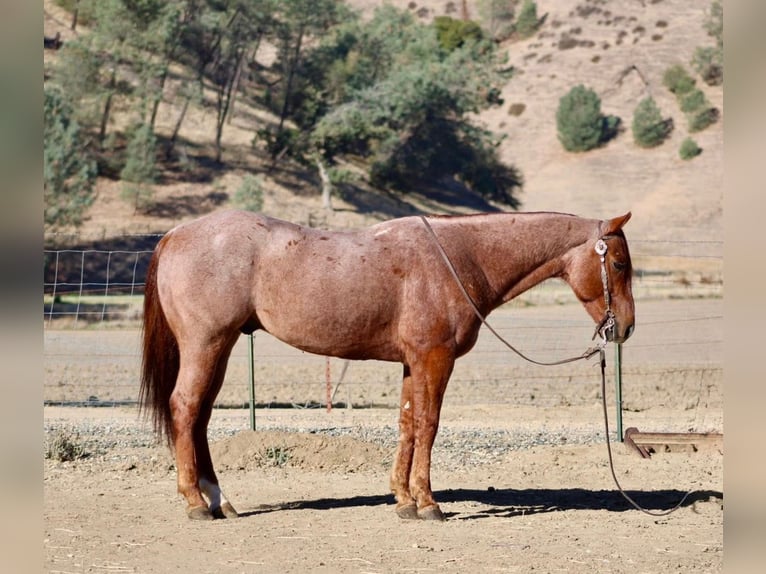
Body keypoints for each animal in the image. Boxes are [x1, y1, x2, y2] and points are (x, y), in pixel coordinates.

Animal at [140, 209, 635, 521]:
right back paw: (195, 503)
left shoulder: (413, 362)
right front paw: (428, 503)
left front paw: (403, 499)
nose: (625, 327)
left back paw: (219, 500)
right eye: (620, 264)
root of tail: (175, 234)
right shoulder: (434, 359)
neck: (459, 257)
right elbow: (429, 424)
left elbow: (407, 423)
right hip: (206, 344)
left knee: (200, 417)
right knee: (185, 408)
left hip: (219, 349)